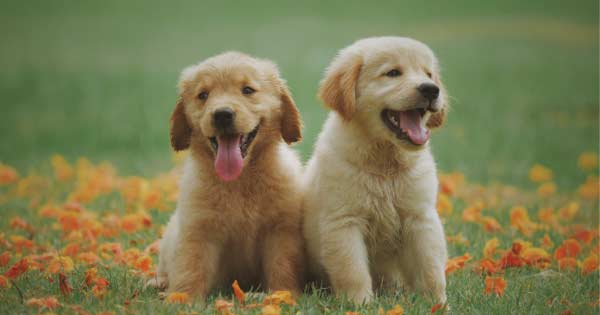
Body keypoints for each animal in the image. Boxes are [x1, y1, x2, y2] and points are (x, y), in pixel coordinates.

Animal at [150, 52, 304, 302]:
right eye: (203, 95)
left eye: (248, 90)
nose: (222, 115)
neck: (239, 181)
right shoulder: (198, 229)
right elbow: (190, 266)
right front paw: (182, 298)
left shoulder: (281, 230)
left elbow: (282, 265)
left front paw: (282, 294)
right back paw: (158, 282)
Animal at [304, 37, 450, 306]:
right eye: (392, 73)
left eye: (428, 74)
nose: (431, 89)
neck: (385, 164)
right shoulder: (344, 221)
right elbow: (352, 270)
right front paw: (359, 304)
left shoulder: (420, 218)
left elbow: (430, 267)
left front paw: (437, 304)